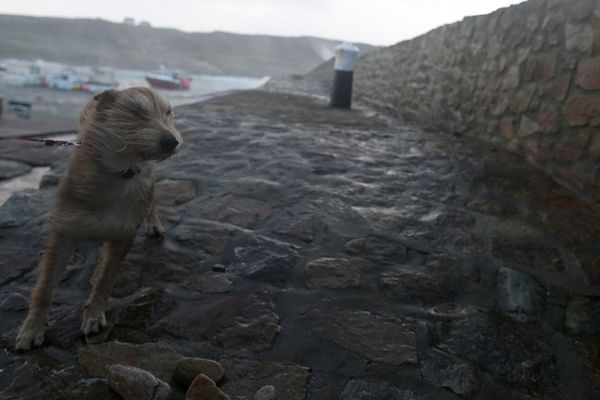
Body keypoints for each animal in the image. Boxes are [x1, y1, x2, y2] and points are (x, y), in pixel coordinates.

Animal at [15, 86, 182, 348]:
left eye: (168, 113)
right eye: (138, 111)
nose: (172, 141)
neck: (121, 170)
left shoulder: (124, 234)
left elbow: (105, 278)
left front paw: (93, 315)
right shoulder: (63, 231)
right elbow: (45, 285)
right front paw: (32, 328)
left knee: (152, 198)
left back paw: (153, 223)